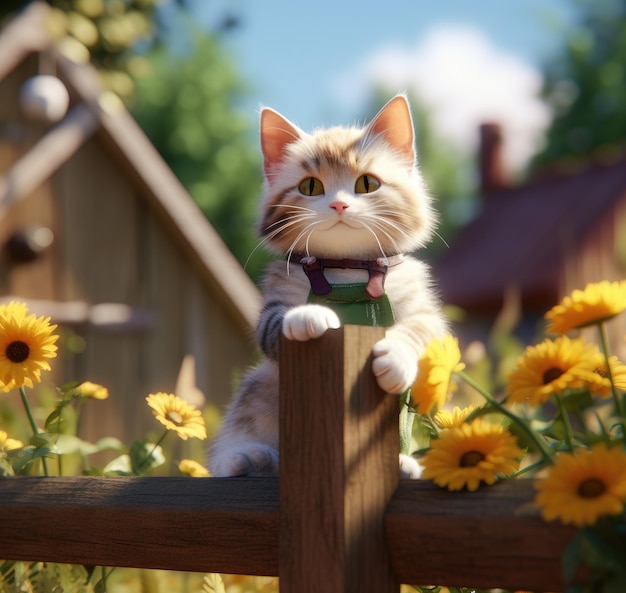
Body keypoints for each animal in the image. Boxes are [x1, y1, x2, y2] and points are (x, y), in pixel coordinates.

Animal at [208, 95, 444, 478]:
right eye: (310, 187)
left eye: (367, 183)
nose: (339, 203)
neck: (345, 269)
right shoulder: (274, 301)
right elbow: (274, 324)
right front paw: (311, 316)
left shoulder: (424, 309)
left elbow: (423, 330)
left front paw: (396, 356)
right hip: (258, 390)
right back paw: (246, 458)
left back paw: (403, 465)